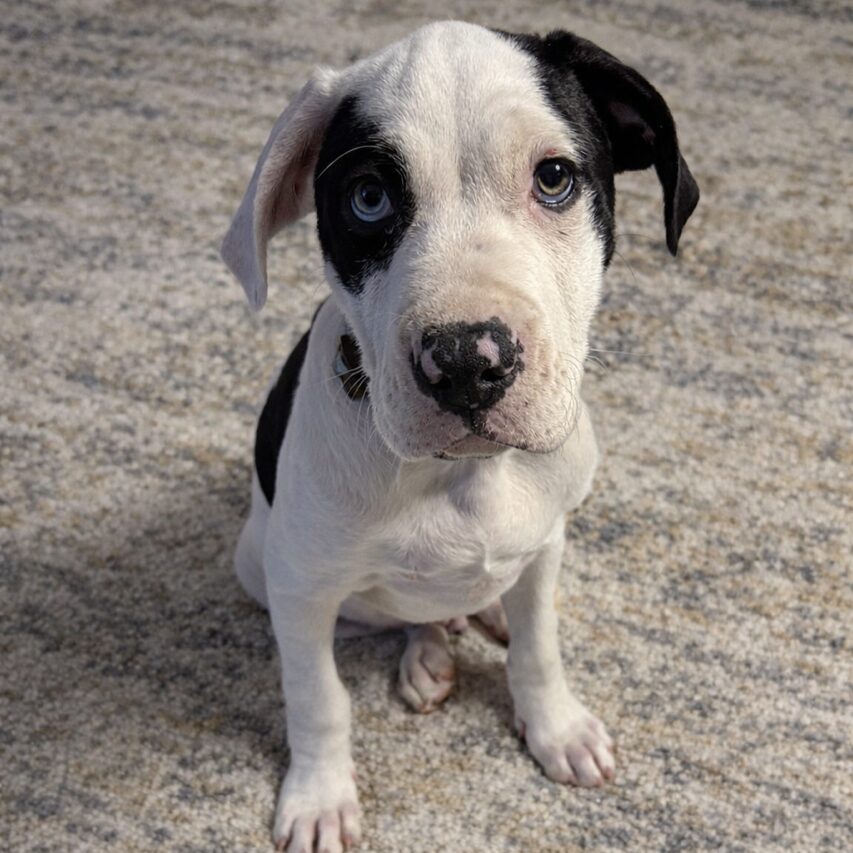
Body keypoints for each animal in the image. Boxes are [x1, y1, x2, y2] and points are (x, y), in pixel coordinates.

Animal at [221, 20, 698, 851]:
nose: (466, 363)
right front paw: (319, 795)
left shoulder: (547, 539)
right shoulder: (302, 588)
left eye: (553, 178)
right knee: (396, 619)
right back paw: (428, 653)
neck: (464, 477)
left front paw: (554, 725)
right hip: (261, 564)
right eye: (369, 198)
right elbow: (318, 698)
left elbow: (540, 647)